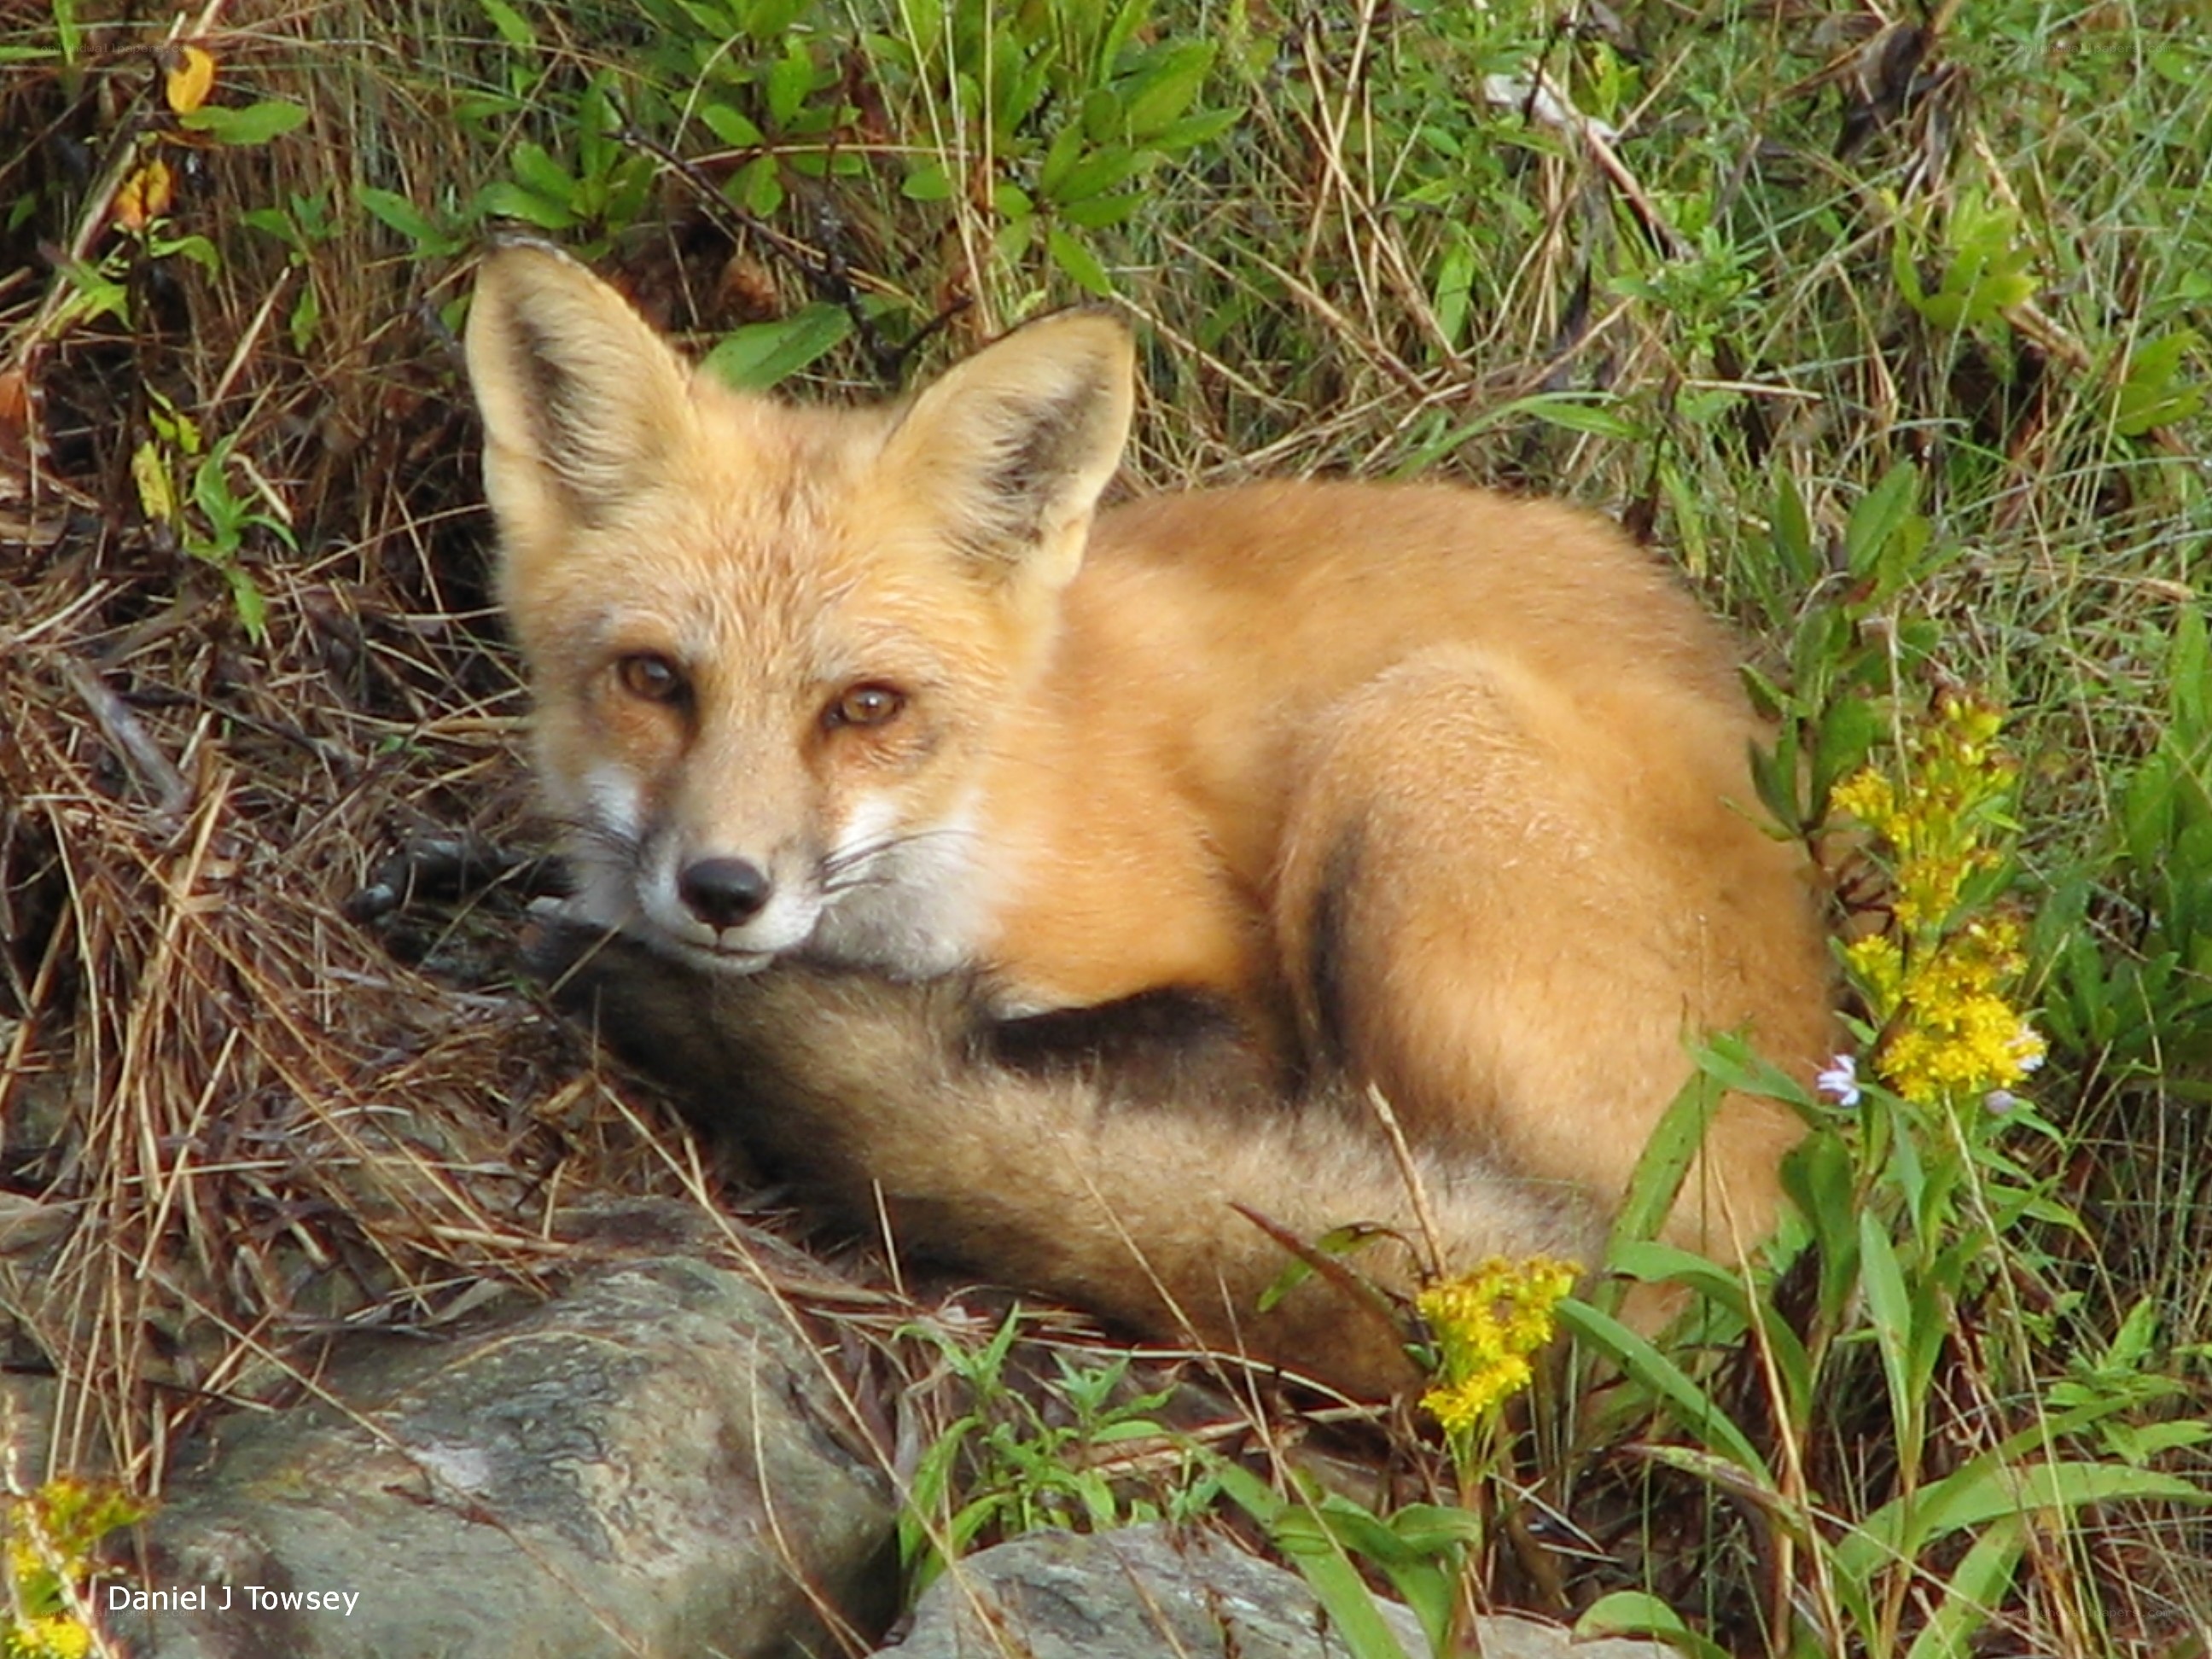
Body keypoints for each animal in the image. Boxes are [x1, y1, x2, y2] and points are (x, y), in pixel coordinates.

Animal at [465, 242, 1835, 1400]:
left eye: (866, 707)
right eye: (654, 680)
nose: (722, 890)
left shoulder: (1229, 1003)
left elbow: (1023, 1057)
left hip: (1409, 739)